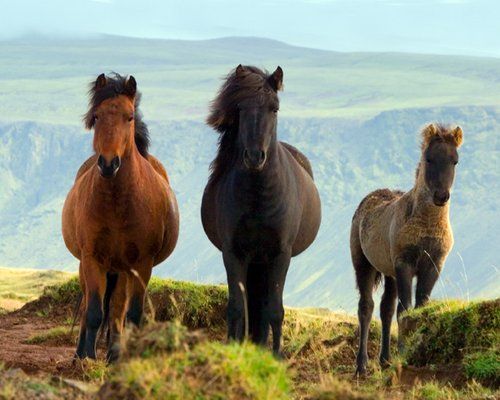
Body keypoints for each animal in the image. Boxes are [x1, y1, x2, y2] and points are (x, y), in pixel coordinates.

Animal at [62, 72, 180, 362]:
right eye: (96, 117)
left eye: (129, 117)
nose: (108, 164)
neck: (117, 206)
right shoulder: (92, 259)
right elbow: (94, 311)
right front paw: (87, 358)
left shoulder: (141, 264)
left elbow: (131, 314)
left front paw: (119, 358)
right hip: (93, 266)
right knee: (90, 306)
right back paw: (81, 353)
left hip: (123, 271)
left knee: (117, 310)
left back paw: (114, 354)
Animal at [350, 122, 462, 376]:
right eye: (429, 158)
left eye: (455, 161)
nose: (441, 196)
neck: (427, 225)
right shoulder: (405, 265)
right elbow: (405, 309)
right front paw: (403, 352)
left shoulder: (433, 265)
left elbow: (420, 307)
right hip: (364, 264)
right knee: (366, 307)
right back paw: (362, 365)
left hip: (389, 273)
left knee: (385, 309)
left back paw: (384, 360)